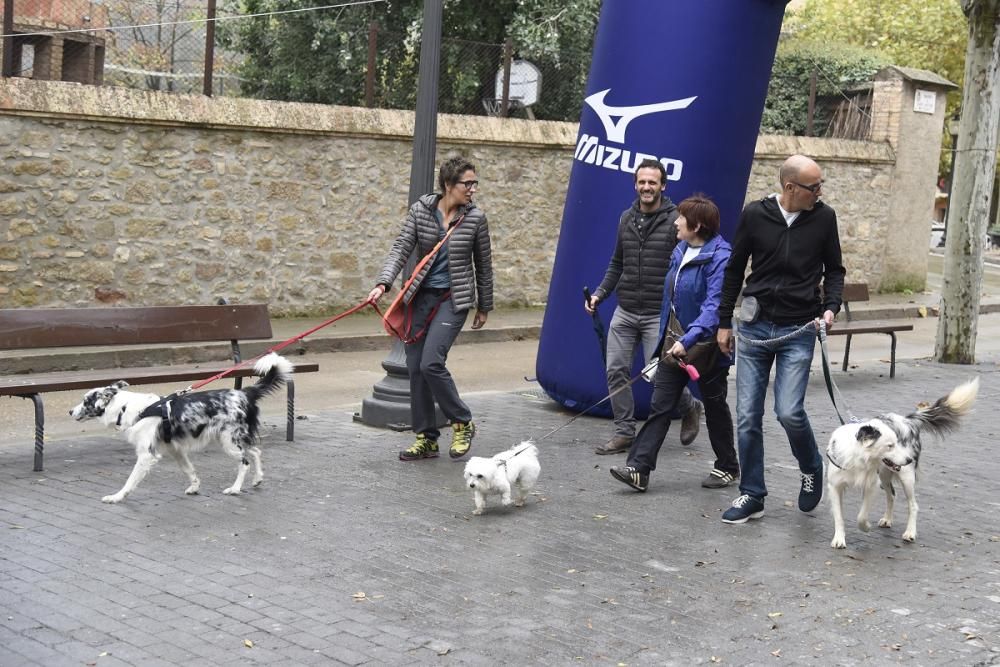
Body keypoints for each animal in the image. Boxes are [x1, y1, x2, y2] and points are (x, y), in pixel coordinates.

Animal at [824, 378, 980, 552]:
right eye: (890, 445)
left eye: (897, 442)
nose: (909, 460)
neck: (858, 458)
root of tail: (908, 420)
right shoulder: (835, 486)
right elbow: (839, 516)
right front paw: (839, 539)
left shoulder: (871, 485)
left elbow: (861, 516)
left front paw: (865, 527)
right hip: (885, 475)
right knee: (891, 495)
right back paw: (887, 519)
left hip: (906, 478)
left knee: (913, 505)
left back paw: (910, 532)